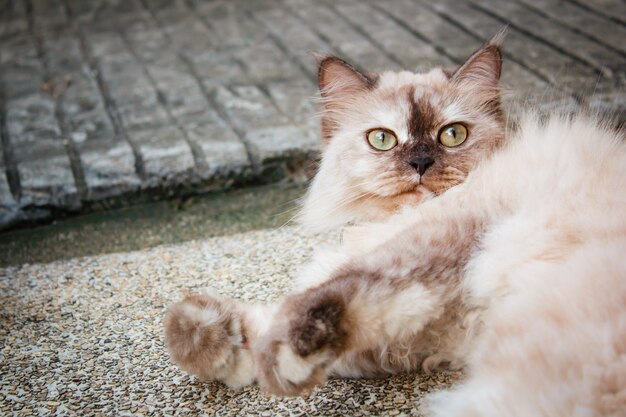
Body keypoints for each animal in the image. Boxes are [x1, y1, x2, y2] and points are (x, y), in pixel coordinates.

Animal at [163, 35, 620, 416]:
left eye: (452, 135)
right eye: (382, 139)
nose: (420, 163)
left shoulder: (442, 240)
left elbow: (328, 292)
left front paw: (283, 358)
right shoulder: (417, 335)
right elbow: (256, 324)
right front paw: (205, 334)